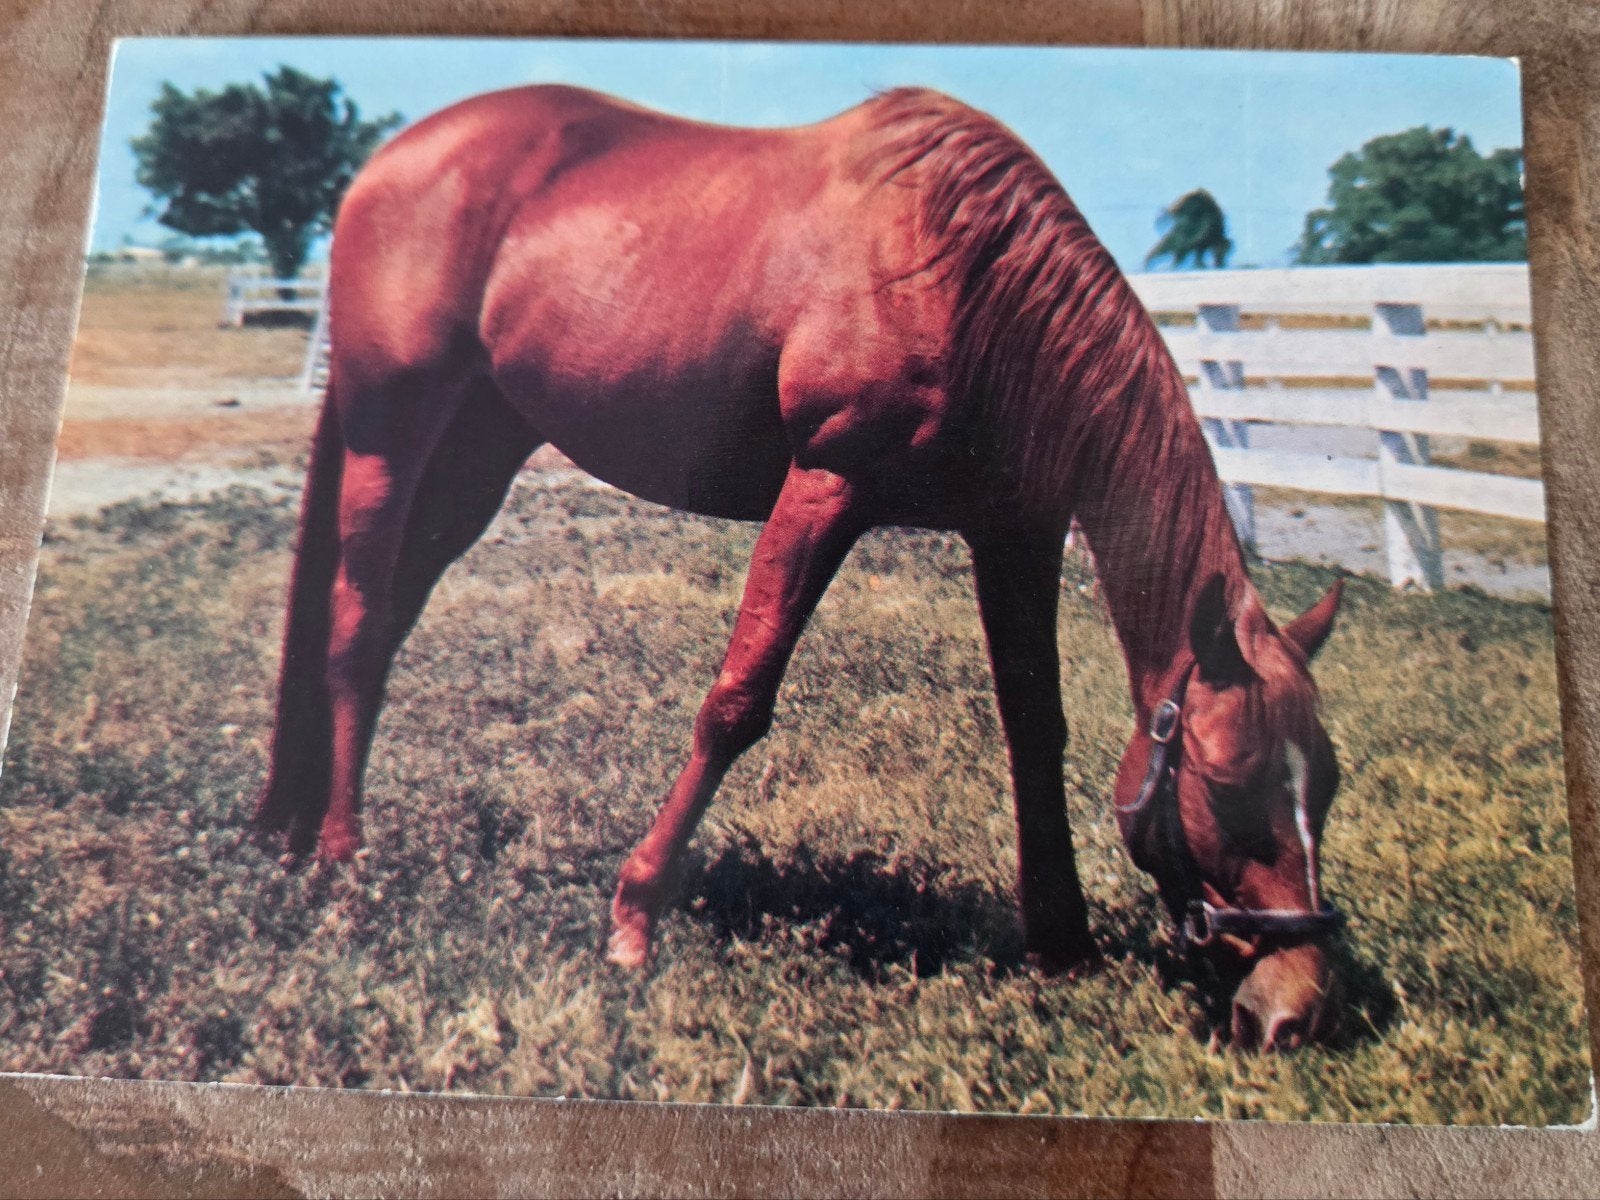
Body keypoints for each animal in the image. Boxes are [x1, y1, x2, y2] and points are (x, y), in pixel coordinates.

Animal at [252, 84, 1347, 1051]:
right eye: (1226, 784)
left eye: (1326, 785)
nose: (1295, 1009)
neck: (969, 278)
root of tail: (388, 163)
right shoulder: (824, 489)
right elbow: (737, 703)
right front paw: (634, 916)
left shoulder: (1015, 532)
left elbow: (1035, 730)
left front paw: (1061, 943)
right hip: (393, 440)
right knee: (355, 630)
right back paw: (344, 862)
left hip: (477, 452)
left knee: (380, 626)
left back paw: (300, 832)